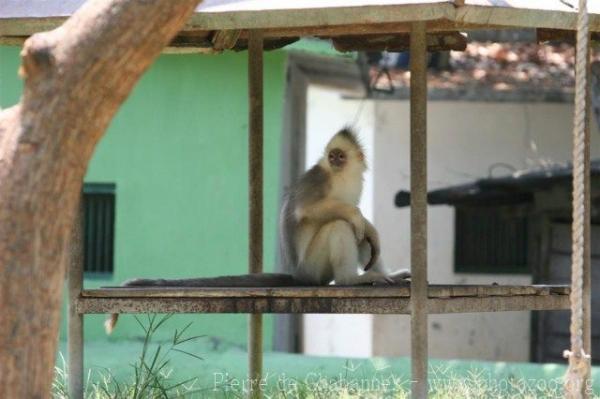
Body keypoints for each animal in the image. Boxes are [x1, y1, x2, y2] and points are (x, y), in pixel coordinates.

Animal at [105, 129, 410, 334]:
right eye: (332, 156)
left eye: (341, 156)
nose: (334, 160)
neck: (340, 175)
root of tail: (299, 275)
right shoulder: (318, 178)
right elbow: (308, 210)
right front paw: (359, 218)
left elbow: (363, 227)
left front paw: (370, 229)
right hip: (314, 267)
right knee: (340, 225)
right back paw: (351, 279)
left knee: (361, 237)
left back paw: (385, 273)